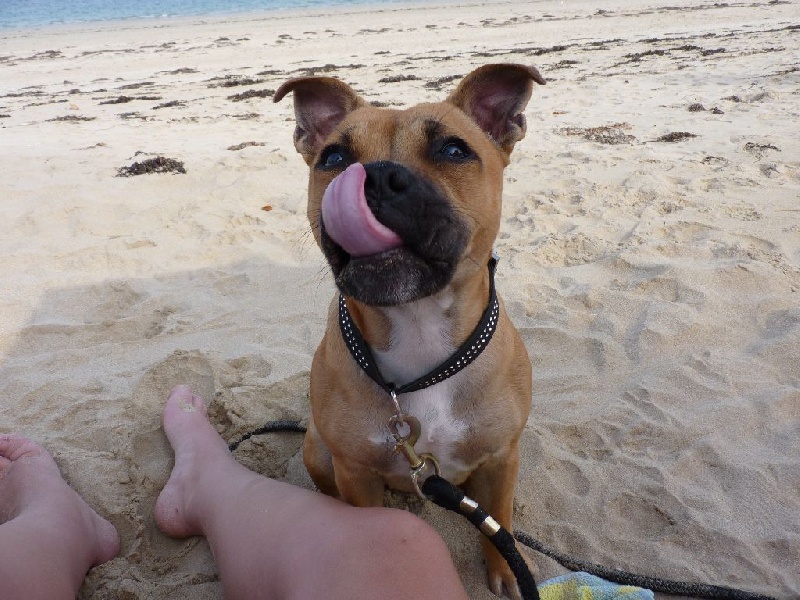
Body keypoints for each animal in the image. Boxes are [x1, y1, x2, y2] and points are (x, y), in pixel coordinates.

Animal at [276, 63, 544, 596]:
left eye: (454, 150)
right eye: (333, 157)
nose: (377, 177)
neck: (418, 326)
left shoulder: (502, 458)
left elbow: (499, 521)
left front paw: (506, 570)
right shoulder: (355, 471)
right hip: (317, 446)